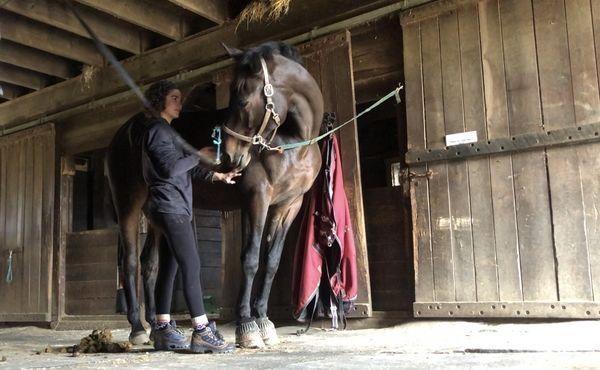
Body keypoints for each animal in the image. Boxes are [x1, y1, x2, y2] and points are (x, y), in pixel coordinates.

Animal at [106, 42, 324, 348]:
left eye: (242, 102)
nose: (230, 156)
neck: (294, 144)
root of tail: (123, 133)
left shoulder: (288, 206)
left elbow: (271, 262)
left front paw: (263, 320)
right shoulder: (257, 198)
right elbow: (251, 259)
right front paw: (247, 325)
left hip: (154, 212)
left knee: (149, 264)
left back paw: (154, 327)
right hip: (129, 203)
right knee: (130, 262)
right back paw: (137, 328)